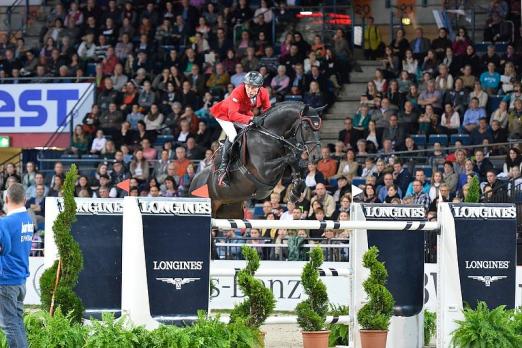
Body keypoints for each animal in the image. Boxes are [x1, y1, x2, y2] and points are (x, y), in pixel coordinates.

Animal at [189, 100, 322, 218]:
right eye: (306, 127)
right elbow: (291, 158)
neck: (269, 136)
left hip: (230, 210)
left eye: (318, 128)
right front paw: (295, 192)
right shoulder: (264, 171)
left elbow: (294, 163)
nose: (317, 157)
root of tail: (193, 182)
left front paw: (295, 192)